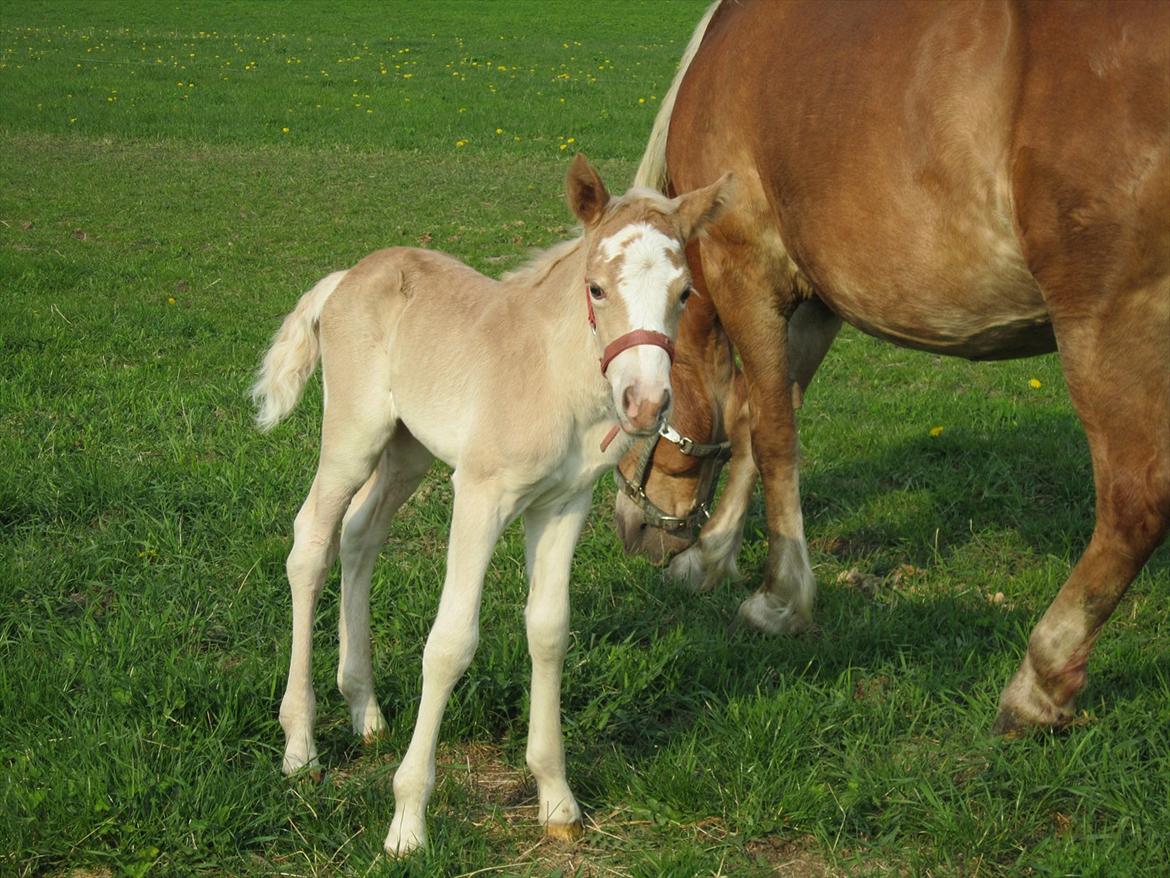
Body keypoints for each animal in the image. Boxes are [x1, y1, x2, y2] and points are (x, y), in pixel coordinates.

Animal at [253, 153, 730, 861]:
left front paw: (557, 801)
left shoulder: (562, 505)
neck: (552, 376)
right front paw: (407, 821)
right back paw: (301, 746)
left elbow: (549, 630)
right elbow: (450, 643)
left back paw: (365, 709)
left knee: (361, 533)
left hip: (408, 447)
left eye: (685, 294)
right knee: (311, 540)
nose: (645, 403)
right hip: (354, 435)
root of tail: (347, 277)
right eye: (596, 289)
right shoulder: (479, 495)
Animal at [613, 0, 1170, 735]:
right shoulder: (815, 302)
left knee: (1136, 502)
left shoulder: (744, 271)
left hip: (1108, 324)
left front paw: (778, 599)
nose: (626, 526)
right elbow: (755, 418)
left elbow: (773, 435)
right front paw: (712, 557)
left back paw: (1041, 679)